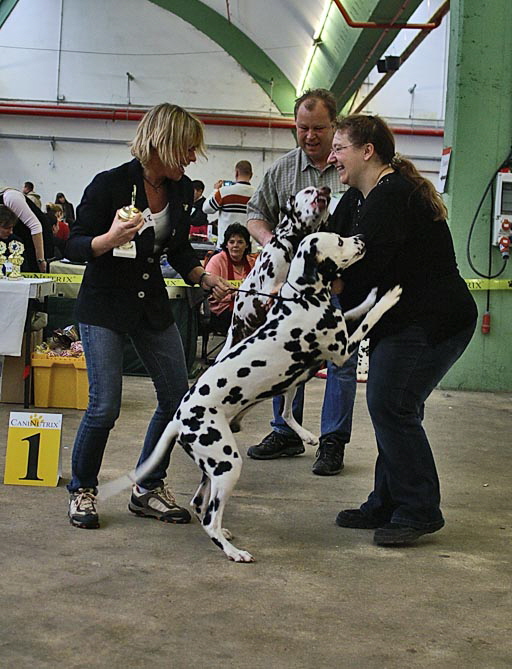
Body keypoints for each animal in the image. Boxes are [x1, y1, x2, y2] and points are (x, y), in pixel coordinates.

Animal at [99, 232, 402, 562]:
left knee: (202, 500)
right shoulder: (342, 350)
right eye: (338, 241)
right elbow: (368, 319)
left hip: (228, 453)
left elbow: (354, 311)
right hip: (228, 463)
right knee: (210, 517)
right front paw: (388, 298)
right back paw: (234, 551)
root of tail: (179, 419)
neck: (303, 298)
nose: (358, 237)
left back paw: (305, 438)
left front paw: (371, 295)